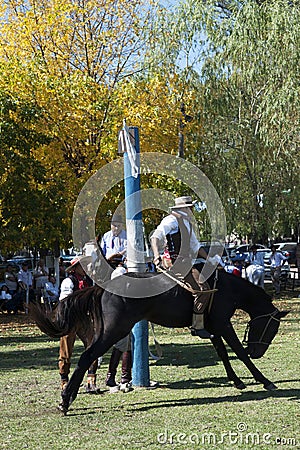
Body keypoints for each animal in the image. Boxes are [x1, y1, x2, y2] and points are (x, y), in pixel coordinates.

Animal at [30, 268, 288, 414]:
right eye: (272, 327)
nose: (257, 352)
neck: (227, 288)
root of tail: (105, 287)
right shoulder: (224, 324)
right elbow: (237, 352)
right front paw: (264, 380)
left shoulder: (214, 328)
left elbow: (224, 354)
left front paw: (237, 381)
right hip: (114, 330)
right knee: (87, 357)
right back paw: (66, 400)